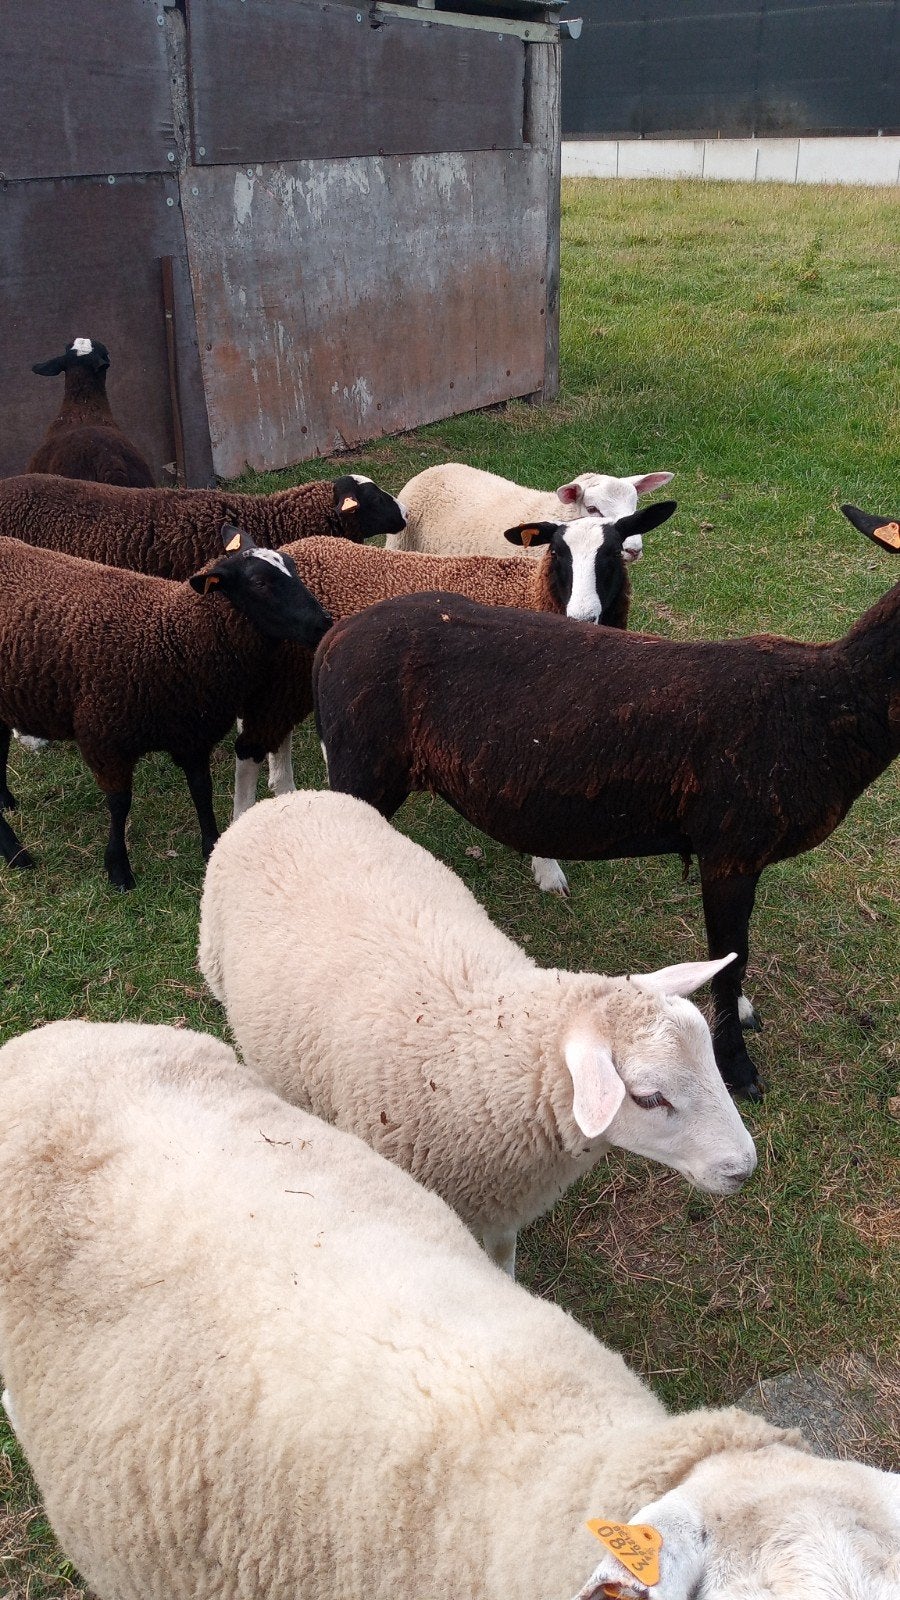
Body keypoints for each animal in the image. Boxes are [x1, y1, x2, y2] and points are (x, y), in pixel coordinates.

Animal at [0, 527, 330, 889]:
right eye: (259, 583)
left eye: (293, 567)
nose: (324, 623)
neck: (173, 636)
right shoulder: (104, 740)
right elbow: (120, 804)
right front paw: (119, 870)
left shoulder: (193, 734)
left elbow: (201, 789)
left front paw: (211, 846)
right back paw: (17, 855)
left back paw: (7, 804)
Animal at [199, 789, 756, 1275]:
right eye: (647, 1098)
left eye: (711, 1060)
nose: (744, 1169)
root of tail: (285, 800)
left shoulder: (501, 1201)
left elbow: (502, 1254)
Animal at [229, 499, 676, 830]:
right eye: (557, 553)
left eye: (612, 554)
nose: (583, 617)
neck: (530, 591)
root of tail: (297, 548)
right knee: (249, 747)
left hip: (288, 678)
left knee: (276, 736)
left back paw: (285, 790)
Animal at [313, 537, 900, 1099]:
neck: (826, 703)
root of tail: (334, 639)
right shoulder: (731, 848)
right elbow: (732, 959)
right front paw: (738, 1068)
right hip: (362, 767)